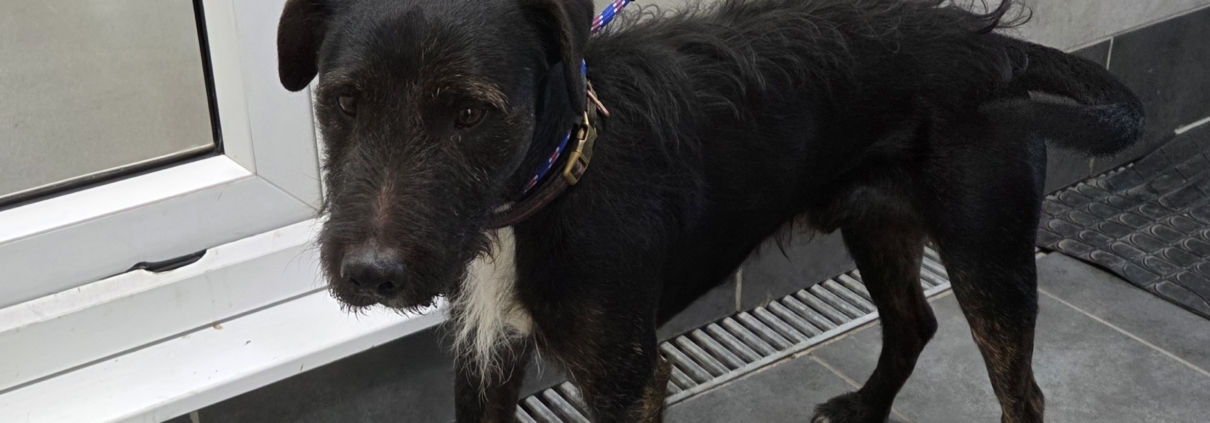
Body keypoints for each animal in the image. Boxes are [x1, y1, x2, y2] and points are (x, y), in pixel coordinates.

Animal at [276, 0, 1144, 421]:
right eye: (344, 101)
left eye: (468, 113)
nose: (370, 274)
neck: (546, 188)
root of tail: (997, 46)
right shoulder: (485, 350)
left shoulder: (628, 377)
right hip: (876, 223)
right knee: (914, 323)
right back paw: (864, 406)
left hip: (989, 254)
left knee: (1022, 393)